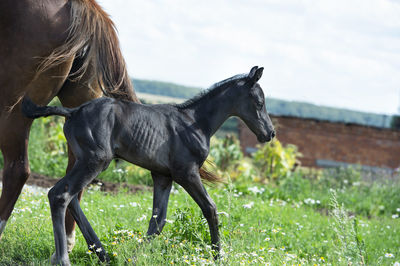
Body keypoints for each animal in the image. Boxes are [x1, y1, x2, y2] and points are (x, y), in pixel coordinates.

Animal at [21, 66, 272, 264]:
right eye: (259, 102)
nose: (270, 133)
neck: (195, 123)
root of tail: (73, 111)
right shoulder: (187, 173)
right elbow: (210, 208)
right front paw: (218, 256)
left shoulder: (163, 176)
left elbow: (158, 221)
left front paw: (133, 257)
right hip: (95, 161)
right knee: (60, 195)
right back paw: (65, 259)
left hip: (85, 160)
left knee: (67, 195)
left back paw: (103, 253)